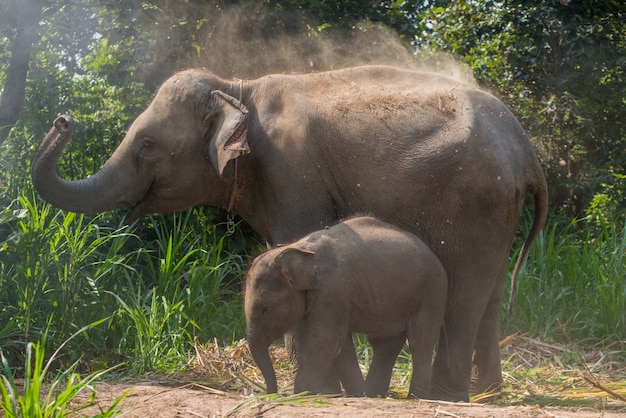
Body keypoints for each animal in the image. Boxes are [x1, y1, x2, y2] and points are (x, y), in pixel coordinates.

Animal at [243, 216, 444, 398]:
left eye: (265, 308)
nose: (268, 395)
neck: (295, 248)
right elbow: (329, 344)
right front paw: (348, 394)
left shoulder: (332, 290)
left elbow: (325, 340)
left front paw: (301, 394)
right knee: (385, 343)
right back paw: (373, 394)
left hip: (430, 292)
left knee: (420, 342)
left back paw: (415, 397)